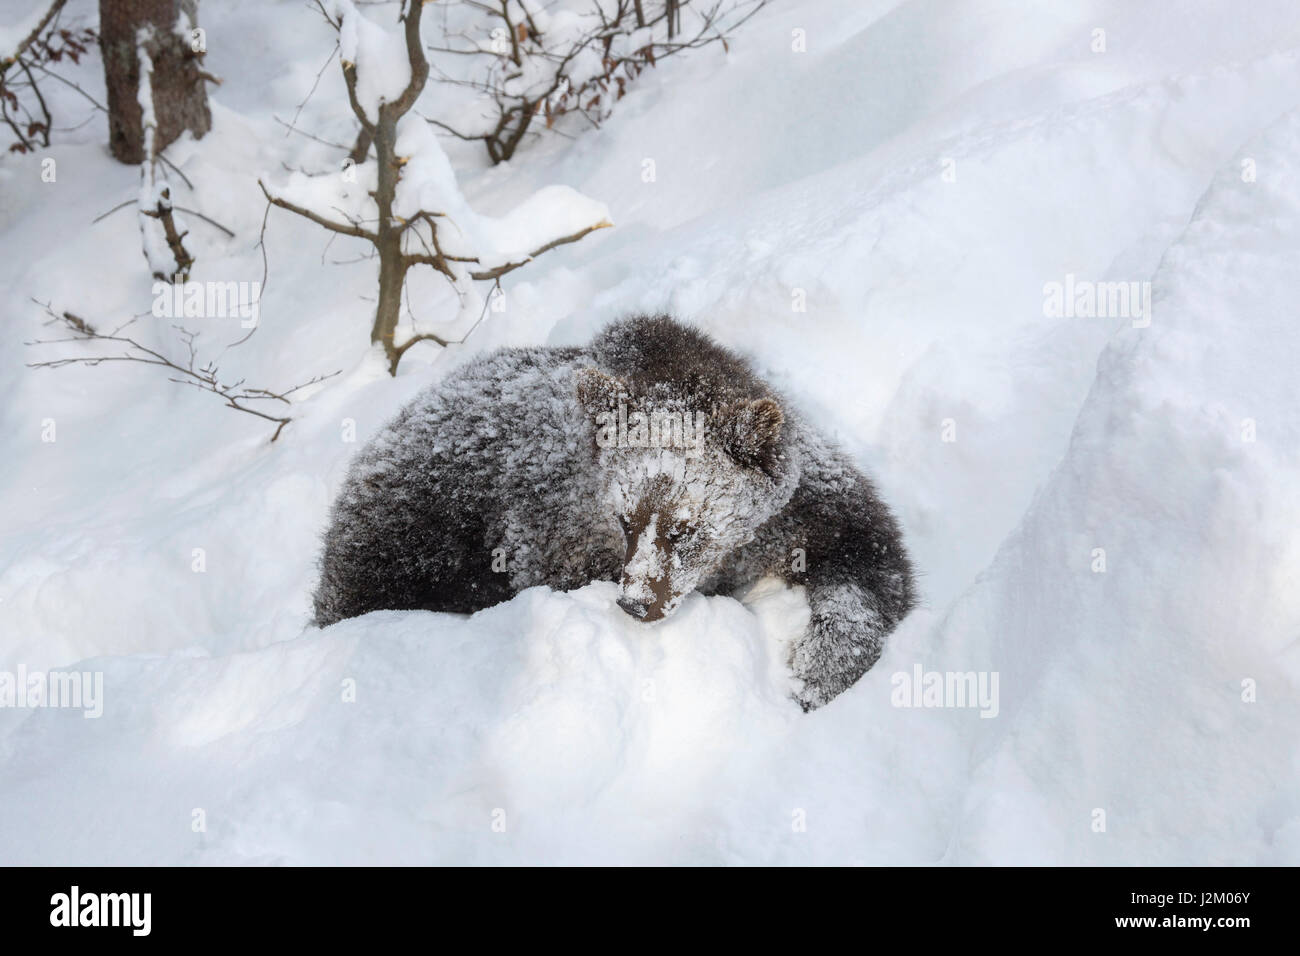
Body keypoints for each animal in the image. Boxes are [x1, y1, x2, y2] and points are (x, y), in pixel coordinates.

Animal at [315, 316, 920, 712]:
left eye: (685, 529)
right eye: (625, 519)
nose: (635, 602)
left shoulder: (806, 505)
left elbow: (870, 565)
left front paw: (815, 672)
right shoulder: (548, 525)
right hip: (414, 533)